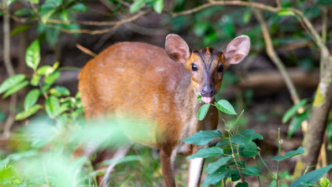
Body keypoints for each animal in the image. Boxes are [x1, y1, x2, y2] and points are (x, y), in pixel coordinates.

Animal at [78, 34, 249, 186]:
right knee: (77, 154)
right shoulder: (165, 142)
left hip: (125, 132)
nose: (207, 90)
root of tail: (85, 69)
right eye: (194, 66)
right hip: (96, 112)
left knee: (100, 163)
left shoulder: (203, 146)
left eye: (220, 67)